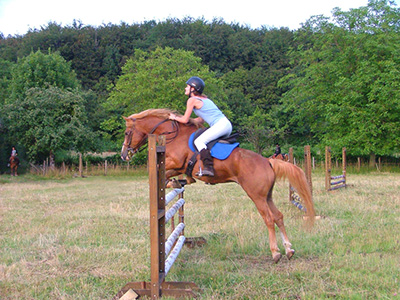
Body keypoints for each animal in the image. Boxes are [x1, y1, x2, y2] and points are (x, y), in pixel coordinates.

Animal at [120, 108, 314, 262]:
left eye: (127, 133)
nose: (123, 155)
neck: (173, 135)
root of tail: (268, 162)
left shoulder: (175, 163)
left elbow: (163, 173)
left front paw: (173, 181)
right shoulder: (179, 167)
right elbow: (178, 178)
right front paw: (177, 182)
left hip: (256, 195)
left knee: (268, 218)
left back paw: (275, 253)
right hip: (267, 195)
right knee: (279, 216)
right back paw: (289, 249)